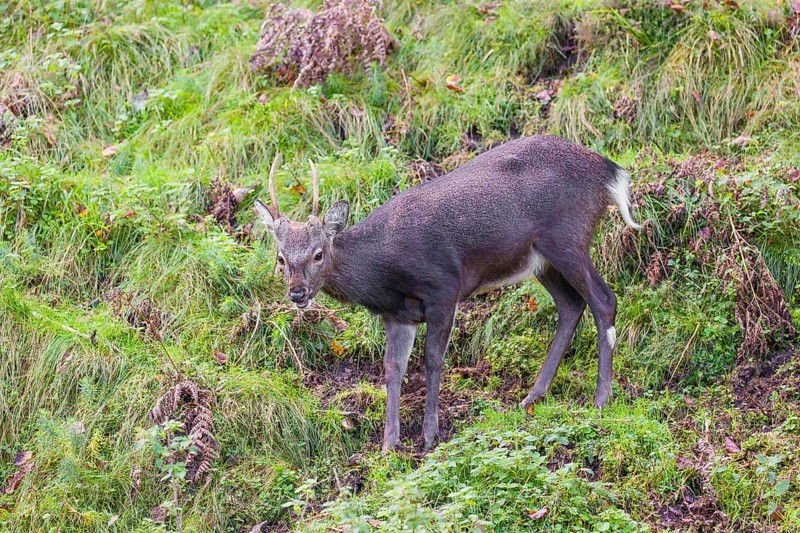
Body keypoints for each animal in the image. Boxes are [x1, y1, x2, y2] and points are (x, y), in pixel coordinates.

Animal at [254, 135, 641, 452]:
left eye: (318, 253)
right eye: (281, 257)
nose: (298, 293)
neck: (384, 272)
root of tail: (609, 172)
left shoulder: (443, 286)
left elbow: (433, 359)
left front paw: (430, 435)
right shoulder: (398, 314)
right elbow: (393, 368)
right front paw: (389, 443)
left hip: (567, 235)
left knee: (604, 299)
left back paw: (601, 399)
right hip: (540, 259)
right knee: (571, 305)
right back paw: (532, 396)